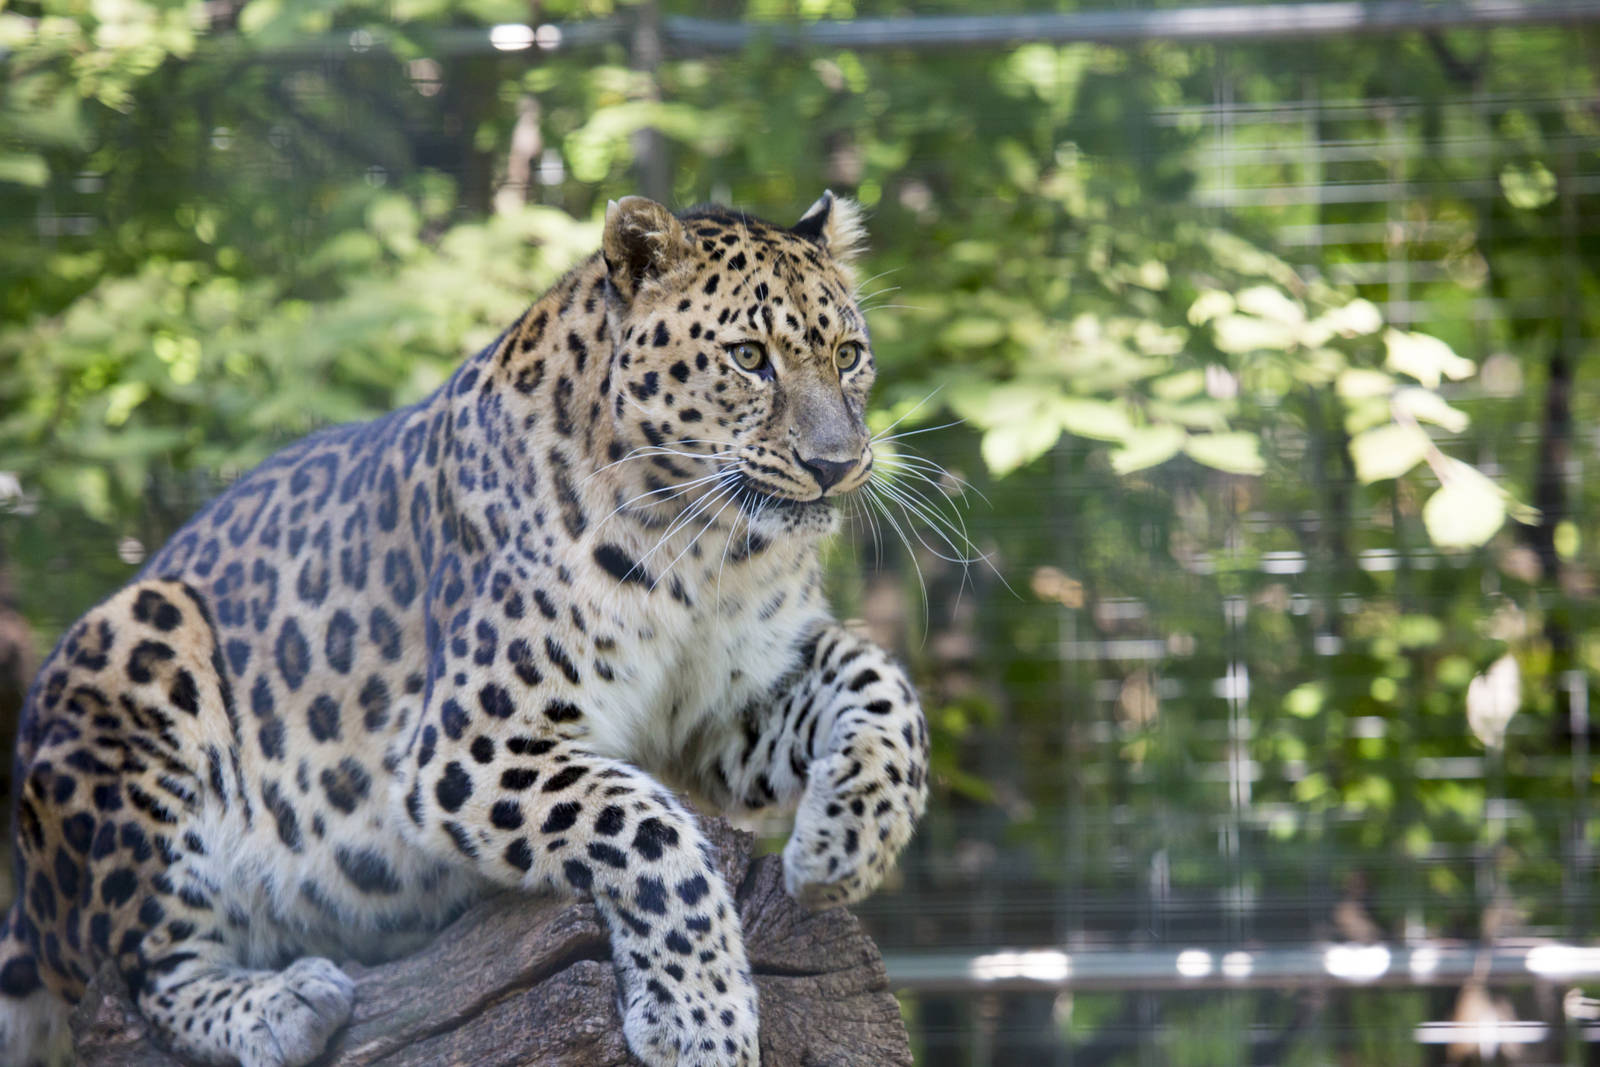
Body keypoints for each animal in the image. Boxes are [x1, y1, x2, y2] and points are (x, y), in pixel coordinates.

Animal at [0, 191, 929, 1067]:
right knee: (143, 971)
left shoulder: (725, 702)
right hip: (136, 639)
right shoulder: (465, 745)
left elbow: (883, 684)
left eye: (848, 356)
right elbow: (650, 829)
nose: (837, 464)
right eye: (748, 358)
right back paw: (281, 1003)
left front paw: (843, 848)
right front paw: (702, 1017)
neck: (709, 551)